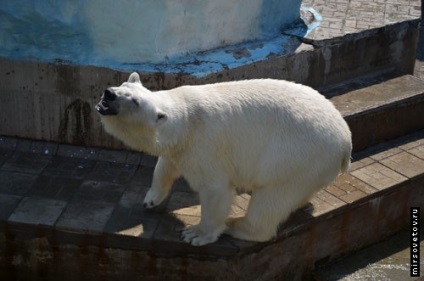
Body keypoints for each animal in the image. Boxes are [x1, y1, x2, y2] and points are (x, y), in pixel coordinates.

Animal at [96, 71, 352, 245]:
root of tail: (346, 141)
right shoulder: (180, 148)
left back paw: (235, 225)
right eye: (123, 84)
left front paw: (195, 233)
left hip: (297, 155)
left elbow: (215, 189)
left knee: (272, 197)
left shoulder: (204, 145)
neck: (185, 123)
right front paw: (151, 199)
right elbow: (165, 166)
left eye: (135, 101)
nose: (109, 93)